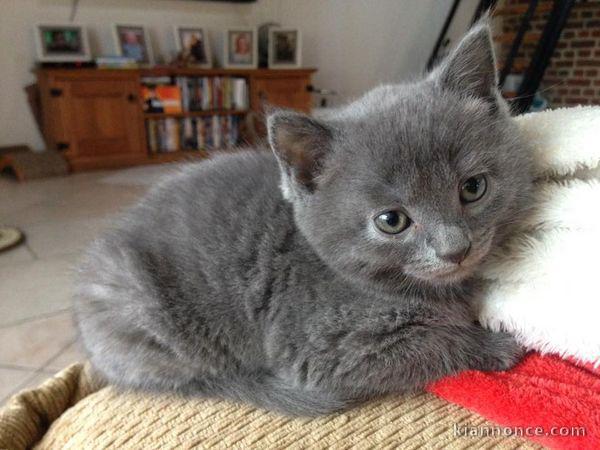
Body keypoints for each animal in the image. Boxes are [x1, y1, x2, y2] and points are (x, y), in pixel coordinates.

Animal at [74, 24, 528, 416]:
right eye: (391, 221)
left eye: (473, 187)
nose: (456, 248)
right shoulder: (326, 349)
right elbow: (431, 344)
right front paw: (495, 347)